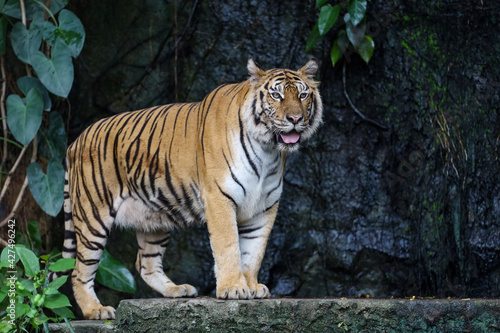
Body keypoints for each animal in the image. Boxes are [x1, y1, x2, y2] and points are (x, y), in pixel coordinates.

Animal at [57, 58, 324, 318]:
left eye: (302, 95)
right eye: (276, 95)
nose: (295, 119)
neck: (267, 151)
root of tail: (74, 142)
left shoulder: (265, 207)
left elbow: (254, 251)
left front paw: (251, 286)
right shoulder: (220, 198)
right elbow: (229, 246)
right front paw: (234, 288)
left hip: (154, 216)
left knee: (145, 263)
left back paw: (177, 290)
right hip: (93, 217)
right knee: (79, 271)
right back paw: (96, 310)